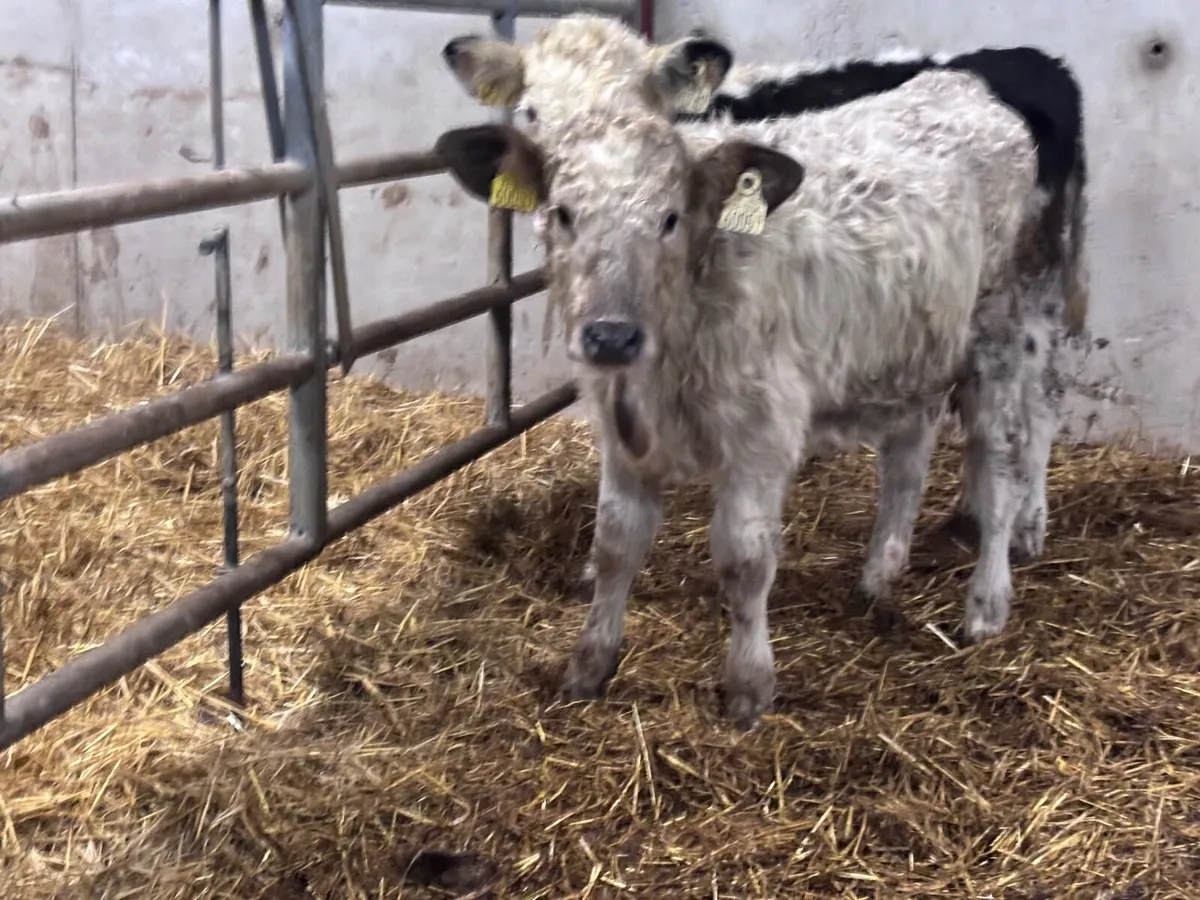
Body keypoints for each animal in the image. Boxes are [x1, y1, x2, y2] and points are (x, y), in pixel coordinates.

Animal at [433, 66, 1051, 727]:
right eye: (563, 213)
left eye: (670, 218)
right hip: (916, 354)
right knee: (908, 458)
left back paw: (986, 602)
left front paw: (749, 686)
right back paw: (878, 576)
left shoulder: (762, 433)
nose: (610, 335)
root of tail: (959, 83)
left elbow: (744, 561)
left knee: (1001, 462)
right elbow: (616, 544)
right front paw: (589, 664)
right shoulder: (620, 437)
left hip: (996, 330)